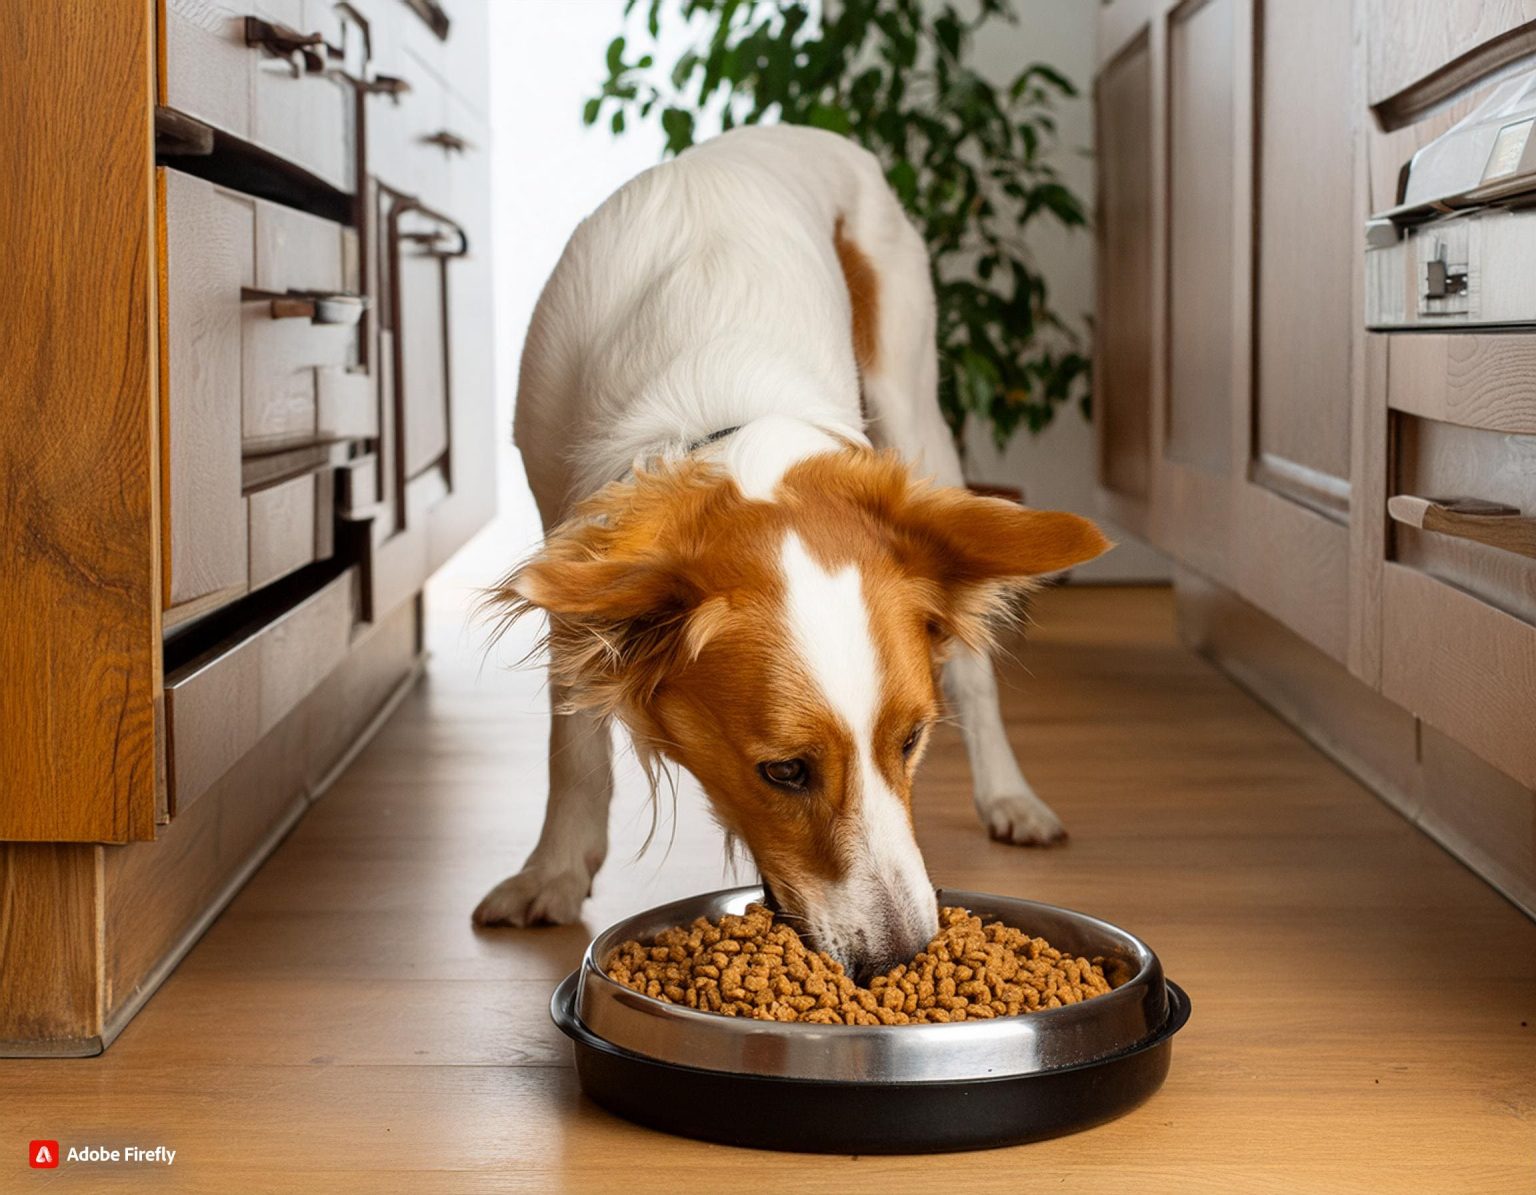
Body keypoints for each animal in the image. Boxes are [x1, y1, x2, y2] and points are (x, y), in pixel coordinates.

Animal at [473, 123, 1112, 976]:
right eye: (785, 771)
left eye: (911, 740)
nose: (902, 955)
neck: (723, 407)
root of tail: (796, 130)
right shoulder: (571, 547)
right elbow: (572, 741)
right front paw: (554, 870)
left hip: (916, 408)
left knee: (975, 669)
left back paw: (1010, 797)